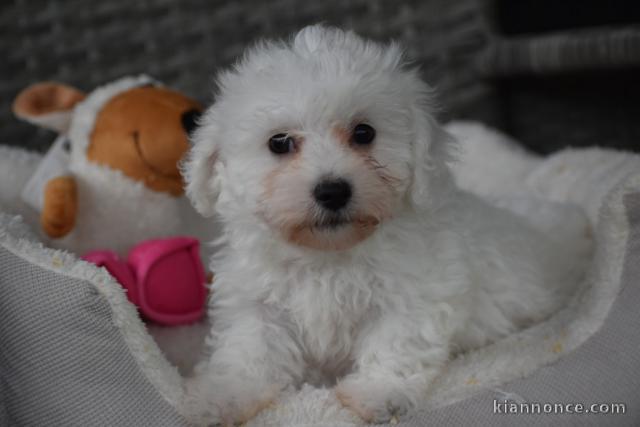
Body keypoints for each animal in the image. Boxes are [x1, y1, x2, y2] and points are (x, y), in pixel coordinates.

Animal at [182, 25, 588, 424]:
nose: (332, 191)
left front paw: (377, 393)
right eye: (279, 143)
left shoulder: (416, 293)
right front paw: (224, 395)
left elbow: (397, 341)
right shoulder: (256, 303)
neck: (327, 255)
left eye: (364, 133)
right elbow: (251, 350)